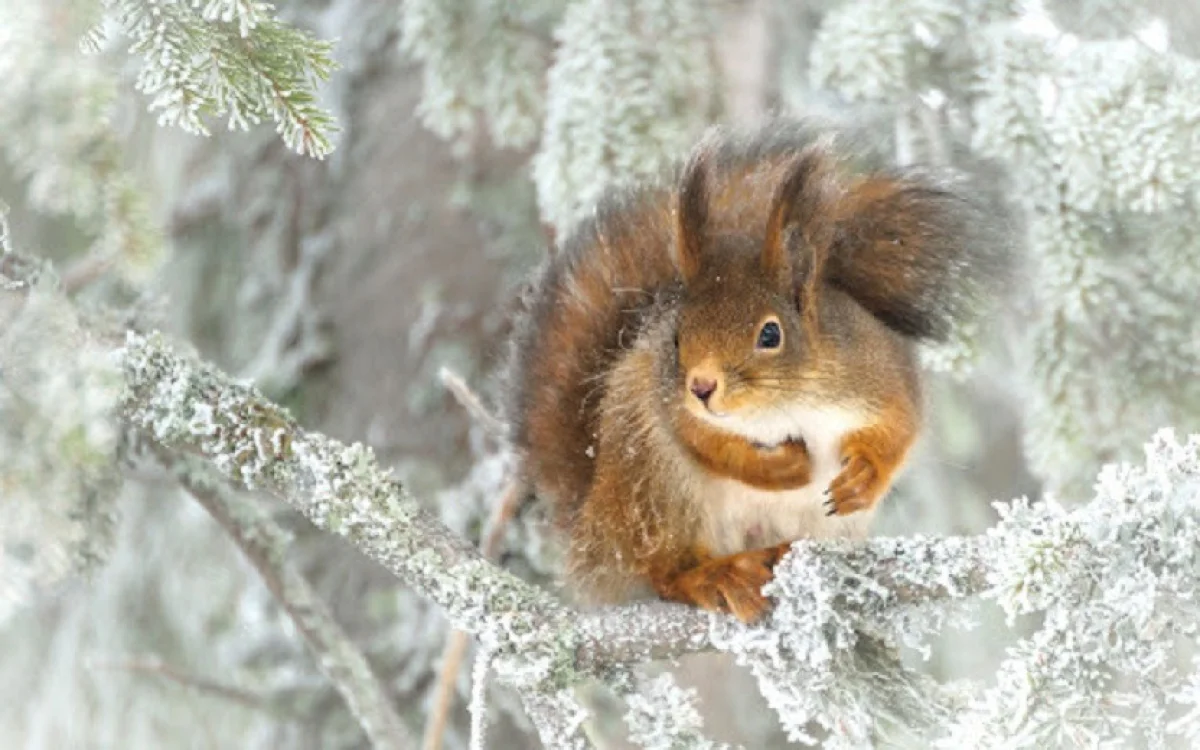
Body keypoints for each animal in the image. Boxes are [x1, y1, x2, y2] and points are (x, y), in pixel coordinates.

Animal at [501, 121, 1008, 619]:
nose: (702, 386)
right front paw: (783, 467)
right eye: (677, 337)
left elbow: (899, 429)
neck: (785, 404)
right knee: (663, 570)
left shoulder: (879, 374)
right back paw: (714, 576)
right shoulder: (668, 405)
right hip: (651, 485)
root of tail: (594, 527)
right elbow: (703, 441)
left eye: (770, 334)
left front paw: (864, 475)